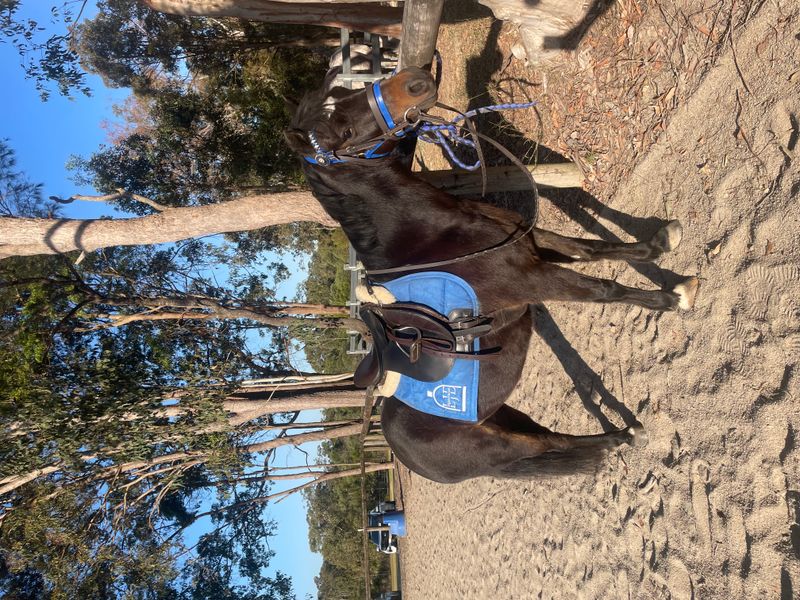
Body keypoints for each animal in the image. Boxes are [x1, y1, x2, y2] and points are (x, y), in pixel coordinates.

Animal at [284, 67, 698, 483]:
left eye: (342, 90)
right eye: (345, 132)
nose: (414, 82)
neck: (435, 239)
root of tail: (403, 452)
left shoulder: (531, 243)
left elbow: (593, 249)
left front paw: (661, 242)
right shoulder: (533, 277)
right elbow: (607, 290)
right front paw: (675, 296)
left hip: (504, 415)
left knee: (554, 439)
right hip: (503, 446)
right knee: (552, 444)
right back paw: (627, 436)